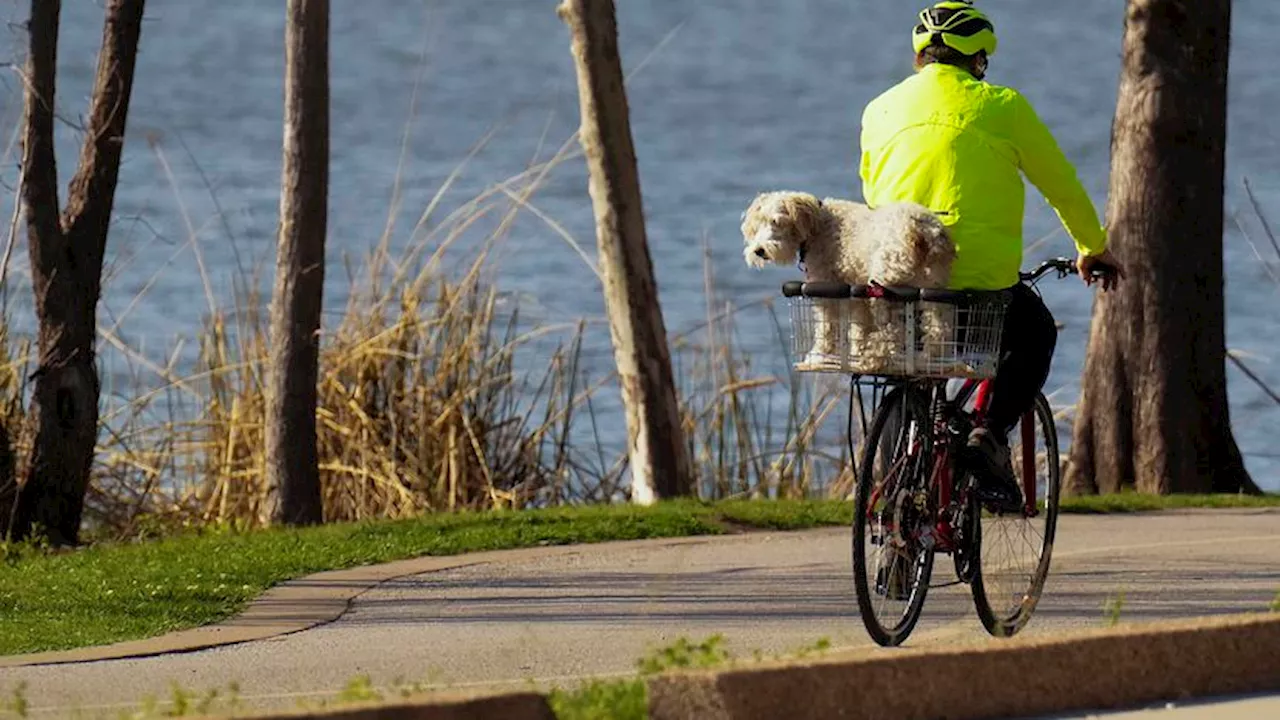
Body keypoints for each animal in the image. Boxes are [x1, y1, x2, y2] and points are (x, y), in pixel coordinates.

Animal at [742, 188, 962, 371]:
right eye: (758, 224)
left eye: (776, 222)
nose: (759, 251)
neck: (817, 223)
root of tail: (925, 231)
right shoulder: (855, 291)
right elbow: (858, 326)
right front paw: (856, 352)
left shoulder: (825, 285)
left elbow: (826, 326)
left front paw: (818, 355)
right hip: (932, 286)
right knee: (938, 328)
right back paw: (926, 358)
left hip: (884, 285)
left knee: (891, 330)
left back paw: (874, 358)